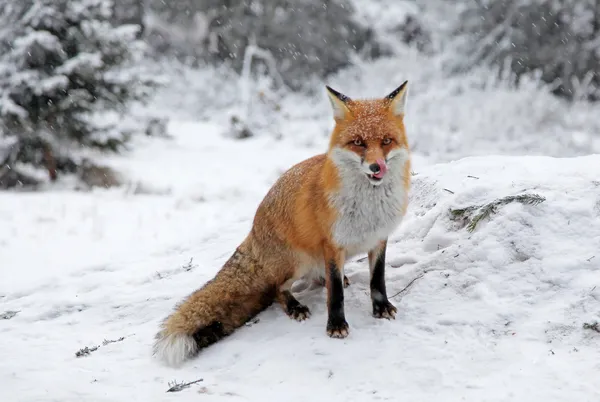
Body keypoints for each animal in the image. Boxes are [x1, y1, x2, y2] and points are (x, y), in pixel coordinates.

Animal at [152, 81, 410, 368]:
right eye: (358, 143)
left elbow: (378, 280)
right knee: (276, 289)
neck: (368, 208)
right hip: (298, 261)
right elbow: (335, 295)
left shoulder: (379, 238)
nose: (377, 167)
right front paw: (336, 325)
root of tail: (253, 231)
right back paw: (294, 306)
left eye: (386, 141)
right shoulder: (332, 244)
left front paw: (381, 308)